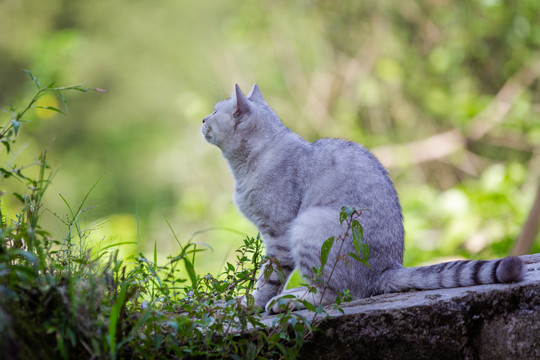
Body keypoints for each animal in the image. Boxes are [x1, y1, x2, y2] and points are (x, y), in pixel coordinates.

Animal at [200, 83, 524, 312]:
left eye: (214, 111)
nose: (202, 119)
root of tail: (388, 270)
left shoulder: (278, 236)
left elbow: (268, 279)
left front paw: (252, 305)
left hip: (308, 225)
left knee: (336, 294)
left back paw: (290, 300)